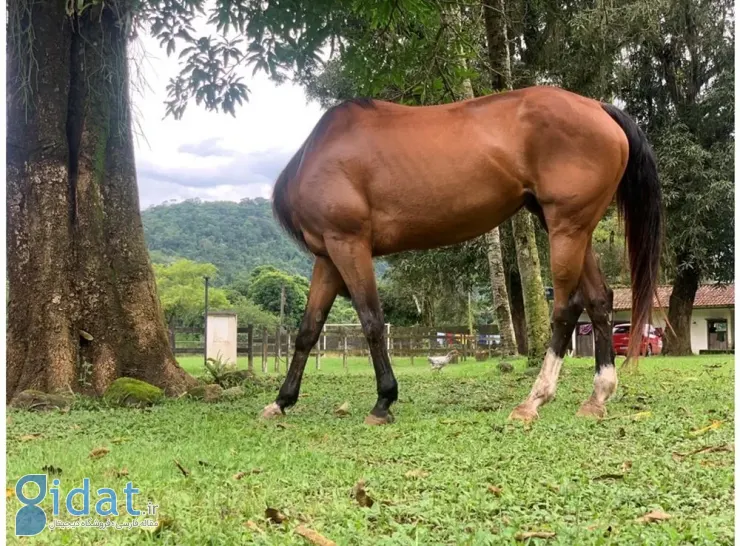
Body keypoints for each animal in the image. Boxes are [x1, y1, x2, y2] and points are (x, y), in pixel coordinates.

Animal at [260, 86, 660, 424]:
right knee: (598, 300)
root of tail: (598, 107)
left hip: (566, 228)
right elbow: (308, 330)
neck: (319, 155)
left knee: (566, 306)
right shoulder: (328, 255)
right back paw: (598, 396)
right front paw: (281, 401)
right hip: (575, 230)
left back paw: (533, 400)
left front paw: (384, 401)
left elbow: (371, 321)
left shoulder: (349, 244)